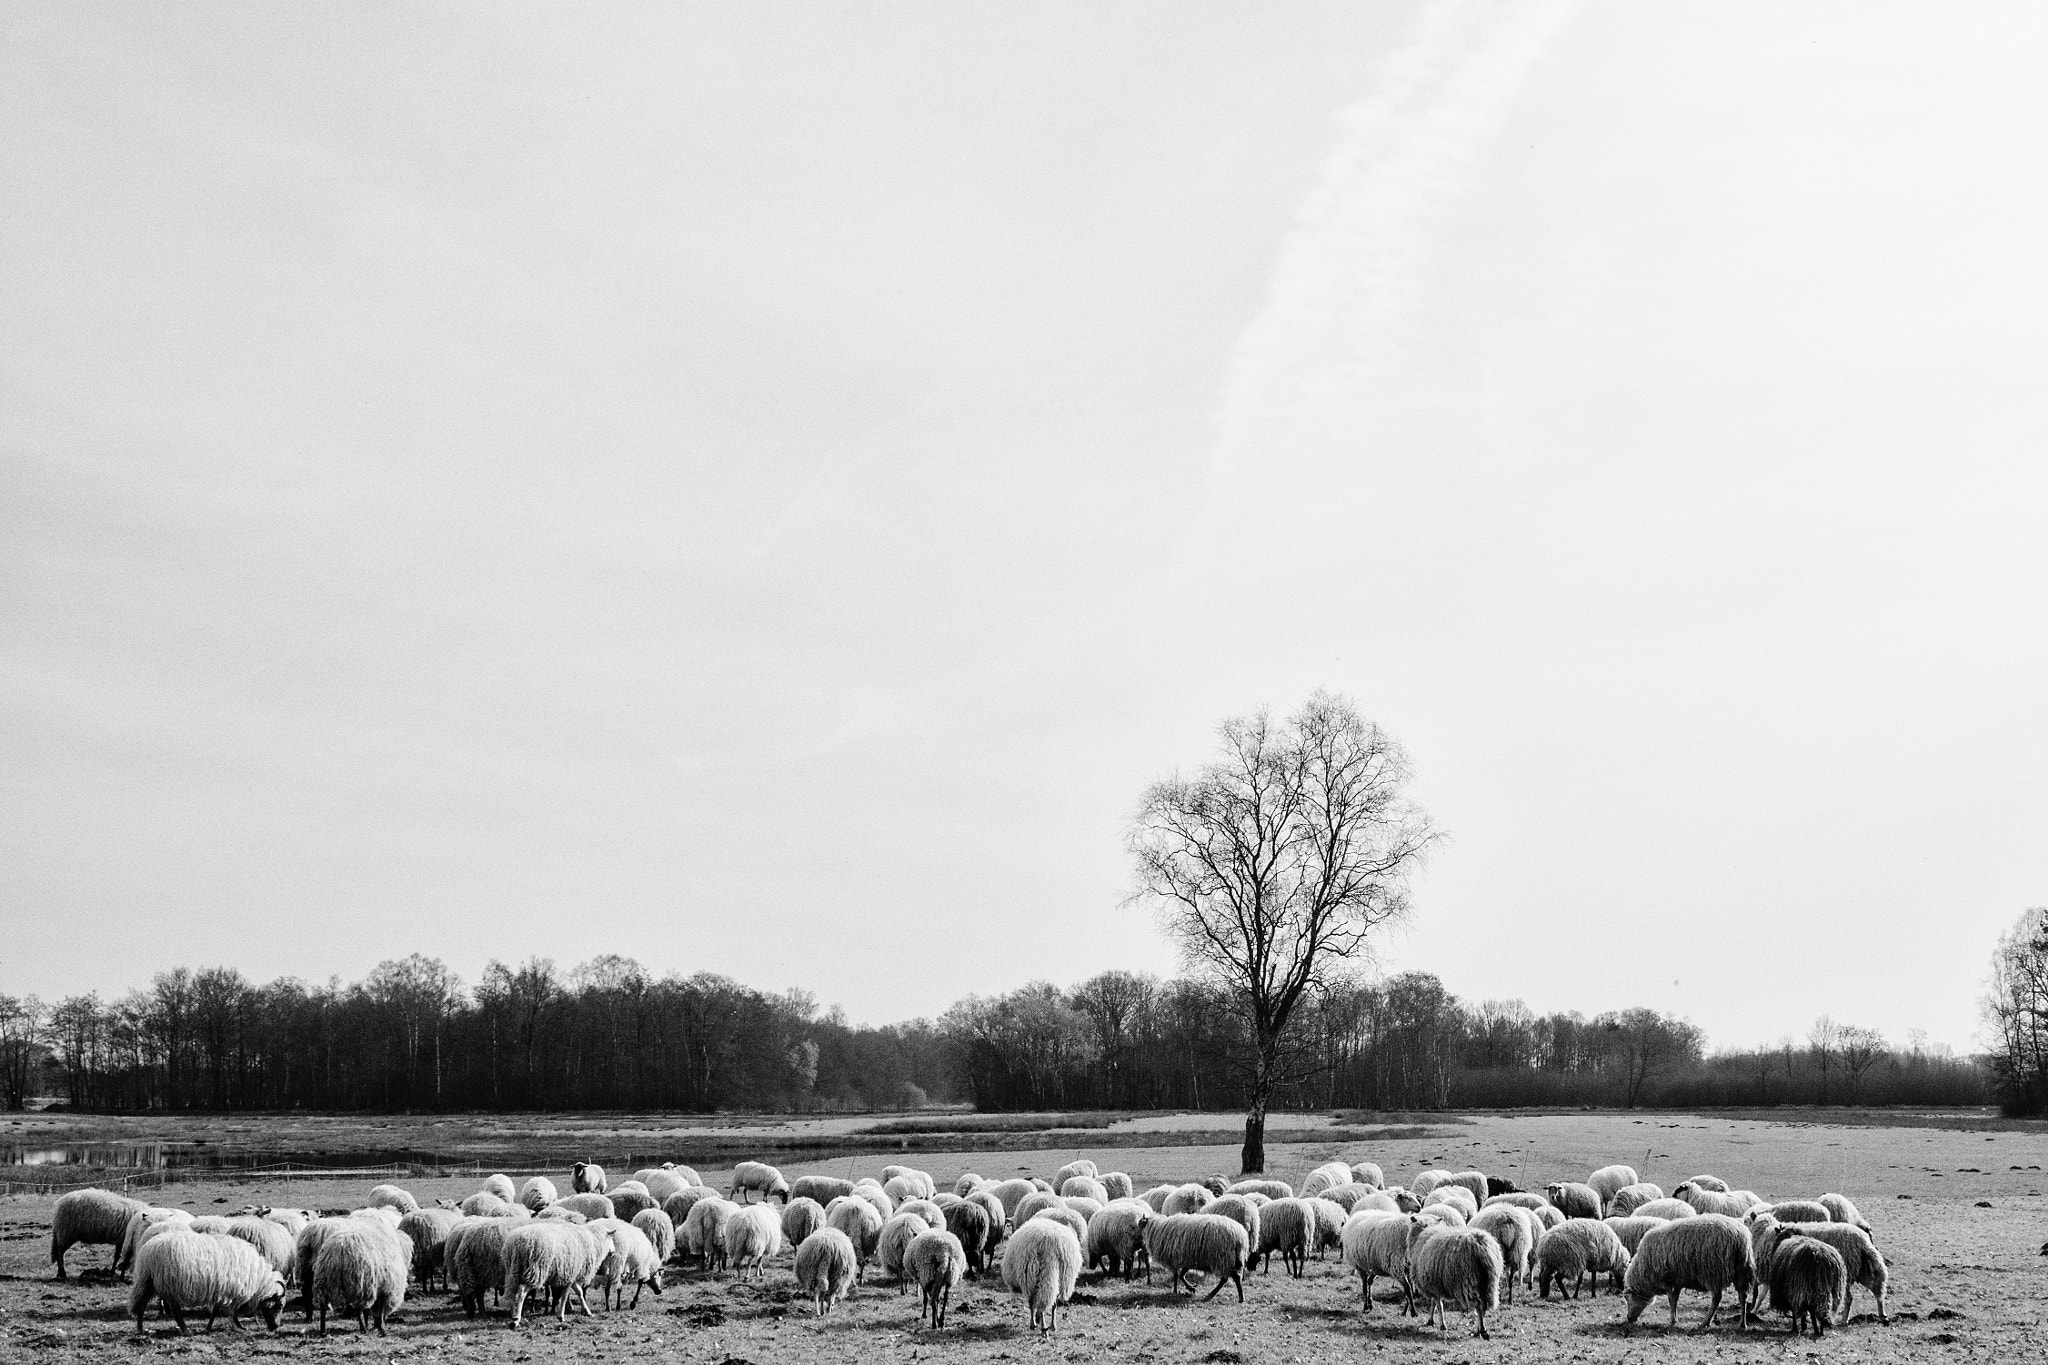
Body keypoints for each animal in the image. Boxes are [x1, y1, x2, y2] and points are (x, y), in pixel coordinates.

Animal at [128, 1227, 286, 1334]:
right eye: (279, 1306)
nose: (275, 1327)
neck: (257, 1279)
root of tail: (148, 1249)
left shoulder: (224, 1289)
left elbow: (222, 1310)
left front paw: (236, 1325)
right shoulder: (231, 1289)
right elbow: (223, 1311)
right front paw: (232, 1326)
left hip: (148, 1280)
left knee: (141, 1304)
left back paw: (141, 1329)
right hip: (171, 1284)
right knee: (175, 1310)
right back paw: (186, 1331)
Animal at [1622, 1211, 1753, 1326]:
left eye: (1627, 1297)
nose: (1629, 1318)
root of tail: (1739, 1236)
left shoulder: (1665, 1280)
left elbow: (1671, 1299)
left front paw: (1672, 1320)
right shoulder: (1678, 1280)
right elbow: (1675, 1299)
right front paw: (1675, 1318)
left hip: (1714, 1272)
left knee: (1717, 1297)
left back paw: (1705, 1323)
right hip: (1742, 1271)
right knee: (1743, 1296)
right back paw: (1743, 1324)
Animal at [1744, 1219, 1884, 1326]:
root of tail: (1863, 1241)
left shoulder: (1772, 1273)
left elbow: (1761, 1295)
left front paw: (1753, 1311)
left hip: (1848, 1274)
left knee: (1849, 1298)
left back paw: (1844, 1320)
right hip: (1864, 1271)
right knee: (1877, 1290)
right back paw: (1882, 1315)